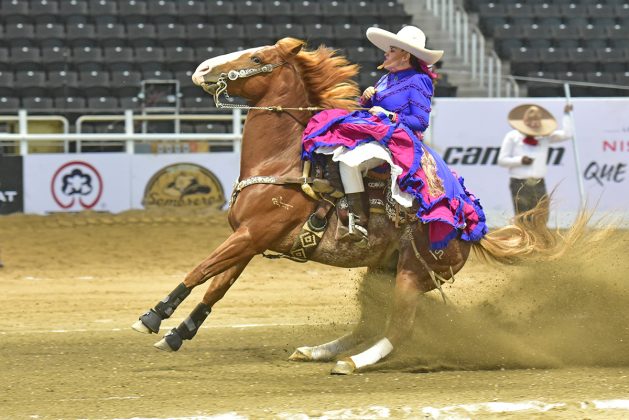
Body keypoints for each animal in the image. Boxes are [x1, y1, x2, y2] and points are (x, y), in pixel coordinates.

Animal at [132, 38, 576, 374]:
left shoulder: (252, 235)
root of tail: (471, 229)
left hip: (413, 273)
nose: (202, 68)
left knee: (399, 327)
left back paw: (352, 363)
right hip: (381, 271)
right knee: (370, 322)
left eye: (256, 59)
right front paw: (178, 334)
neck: (282, 162)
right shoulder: (250, 240)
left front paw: (152, 317)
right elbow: (217, 285)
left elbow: (200, 269)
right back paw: (316, 351)